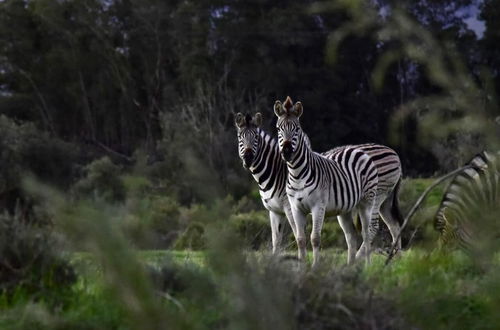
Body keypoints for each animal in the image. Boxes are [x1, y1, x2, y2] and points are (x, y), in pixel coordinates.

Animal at [236, 111, 404, 258]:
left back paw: (359, 259)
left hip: (376, 197)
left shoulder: (290, 207)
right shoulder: (274, 211)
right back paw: (396, 260)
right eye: (239, 138)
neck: (276, 172)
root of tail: (393, 152)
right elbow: (276, 241)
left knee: (373, 228)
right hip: (385, 200)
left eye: (256, 137)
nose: (248, 159)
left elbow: (297, 235)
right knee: (394, 226)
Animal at [274, 96, 394, 266]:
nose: (286, 152)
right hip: (345, 209)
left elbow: (315, 238)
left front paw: (315, 267)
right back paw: (350, 266)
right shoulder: (296, 208)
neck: (297, 174)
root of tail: (357, 150)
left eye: (296, 129)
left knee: (366, 233)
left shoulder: (318, 206)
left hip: (368, 201)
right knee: (351, 235)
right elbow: (300, 239)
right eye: (279, 129)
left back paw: (367, 266)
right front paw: (301, 266)